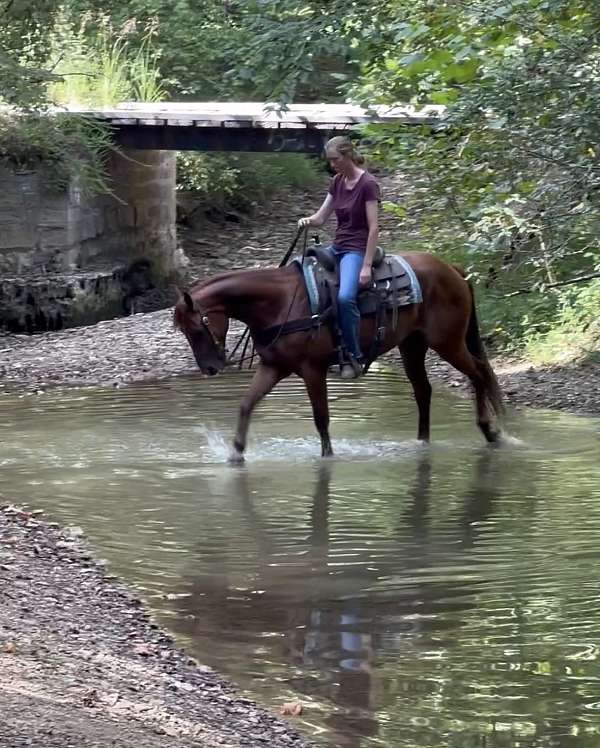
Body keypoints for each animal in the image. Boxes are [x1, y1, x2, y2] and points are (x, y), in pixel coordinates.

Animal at [173, 253, 502, 462]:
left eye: (196, 328)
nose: (210, 368)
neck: (280, 303)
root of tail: (453, 269)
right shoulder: (274, 366)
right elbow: (246, 404)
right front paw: (236, 452)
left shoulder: (313, 369)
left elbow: (321, 418)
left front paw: (328, 458)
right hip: (412, 345)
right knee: (424, 390)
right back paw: (422, 443)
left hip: (448, 343)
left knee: (479, 373)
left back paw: (491, 431)